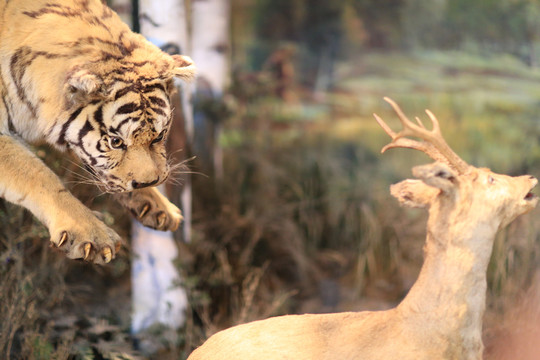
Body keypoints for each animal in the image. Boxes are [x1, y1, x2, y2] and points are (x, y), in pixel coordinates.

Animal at [0, 0, 197, 264]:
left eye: (158, 136)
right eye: (116, 142)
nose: (148, 182)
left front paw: (158, 205)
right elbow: (37, 174)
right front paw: (93, 234)